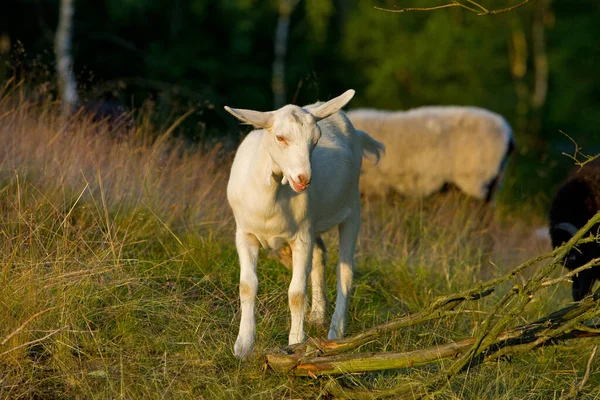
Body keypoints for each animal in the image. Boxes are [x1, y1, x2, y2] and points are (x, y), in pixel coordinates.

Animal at [225, 90, 384, 356]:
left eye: (316, 140)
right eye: (280, 137)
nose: (303, 179)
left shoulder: (301, 237)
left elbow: (296, 293)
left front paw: (295, 343)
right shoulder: (245, 234)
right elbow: (247, 286)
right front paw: (243, 345)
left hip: (352, 209)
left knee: (345, 270)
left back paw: (336, 331)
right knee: (320, 253)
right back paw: (318, 314)